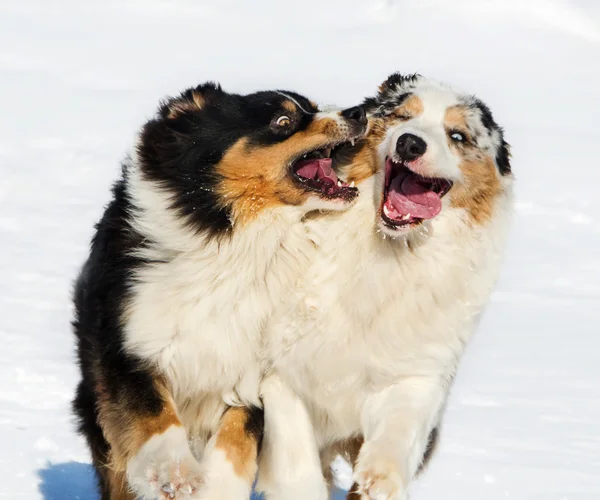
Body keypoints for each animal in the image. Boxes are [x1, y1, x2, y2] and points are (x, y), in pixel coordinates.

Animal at [70, 83, 366, 500]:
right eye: (283, 121)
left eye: (312, 106)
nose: (359, 113)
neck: (238, 241)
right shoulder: (129, 345)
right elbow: (154, 414)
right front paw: (175, 472)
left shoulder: (255, 369)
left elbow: (236, 439)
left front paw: (215, 488)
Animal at [256, 74, 510, 500]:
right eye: (402, 117)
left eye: (458, 135)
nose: (410, 143)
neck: (386, 253)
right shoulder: (277, 369)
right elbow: (294, 457)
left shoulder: (417, 371)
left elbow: (398, 429)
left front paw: (378, 482)